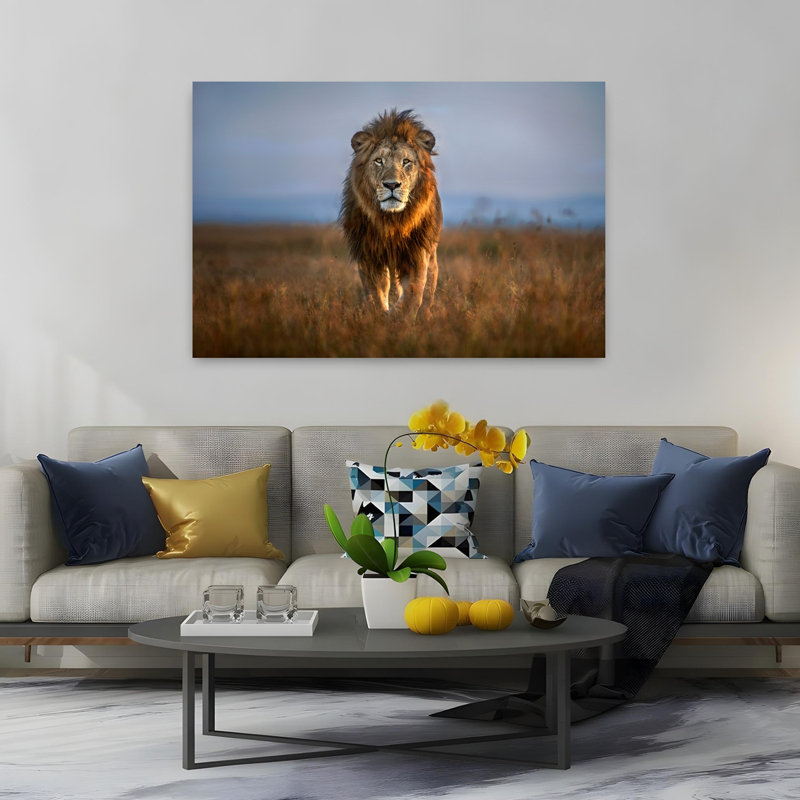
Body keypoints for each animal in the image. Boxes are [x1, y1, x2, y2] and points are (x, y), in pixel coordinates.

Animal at [340, 108, 442, 317]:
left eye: (406, 161)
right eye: (379, 161)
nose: (392, 185)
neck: (392, 221)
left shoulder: (417, 254)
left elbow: (413, 294)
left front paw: (398, 316)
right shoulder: (369, 255)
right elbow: (375, 294)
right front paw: (381, 316)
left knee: (428, 291)